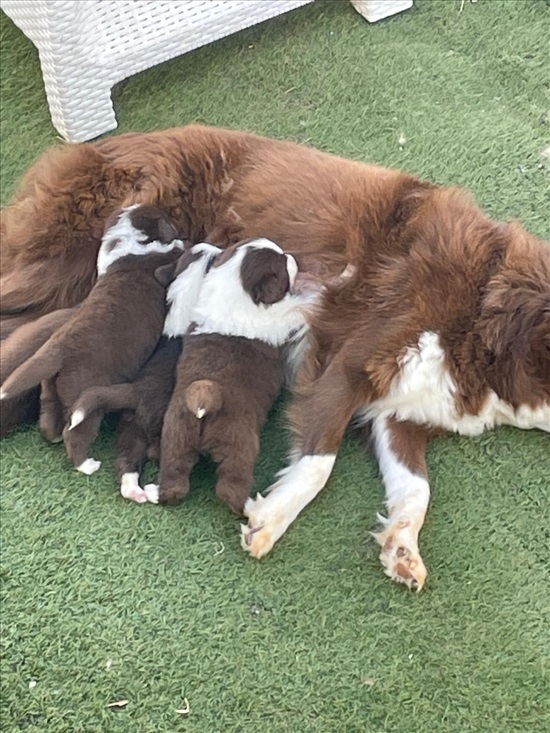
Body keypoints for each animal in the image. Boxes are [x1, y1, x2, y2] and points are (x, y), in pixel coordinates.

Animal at [0, 203, 185, 472]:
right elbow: (174, 252)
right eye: (167, 218)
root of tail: (57, 353)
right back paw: (86, 464)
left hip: (50, 388)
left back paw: (53, 436)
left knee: (48, 420)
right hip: (85, 395)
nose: (177, 226)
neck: (127, 239)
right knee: (75, 432)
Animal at [144, 240, 322, 516]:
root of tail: (206, 397)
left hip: (175, 437)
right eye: (282, 265)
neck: (235, 286)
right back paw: (249, 506)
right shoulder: (279, 319)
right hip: (239, 444)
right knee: (230, 486)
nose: (293, 257)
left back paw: (157, 492)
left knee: (175, 478)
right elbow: (294, 310)